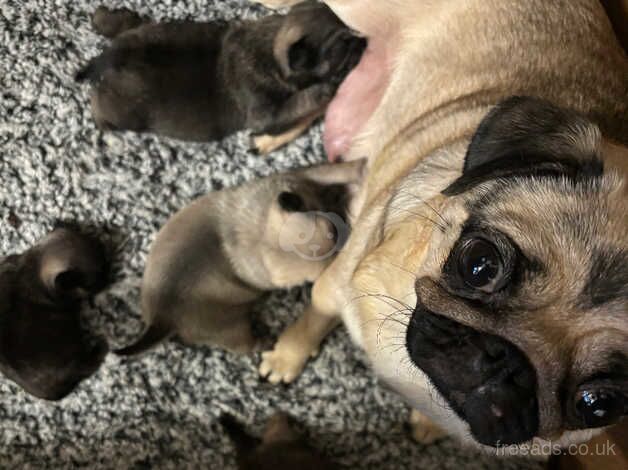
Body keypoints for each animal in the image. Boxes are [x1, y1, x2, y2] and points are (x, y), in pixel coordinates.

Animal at [75, 3, 366, 154]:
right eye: (342, 47)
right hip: (121, 111)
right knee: (100, 111)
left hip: (141, 33)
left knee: (127, 26)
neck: (271, 45)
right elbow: (300, 102)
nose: (363, 42)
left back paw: (105, 17)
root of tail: (108, 58)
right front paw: (326, 88)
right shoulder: (265, 112)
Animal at [115, 160, 366, 354]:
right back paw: (265, 342)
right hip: (230, 329)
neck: (260, 229)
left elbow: (332, 171)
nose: (348, 241)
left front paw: (357, 168)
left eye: (332, 230)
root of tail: (161, 317)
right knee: (244, 346)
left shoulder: (298, 176)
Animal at [251, 0, 628, 454]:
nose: (504, 361)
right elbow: (313, 319)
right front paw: (287, 356)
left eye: (598, 404)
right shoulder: (335, 285)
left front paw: (425, 425)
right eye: (480, 264)